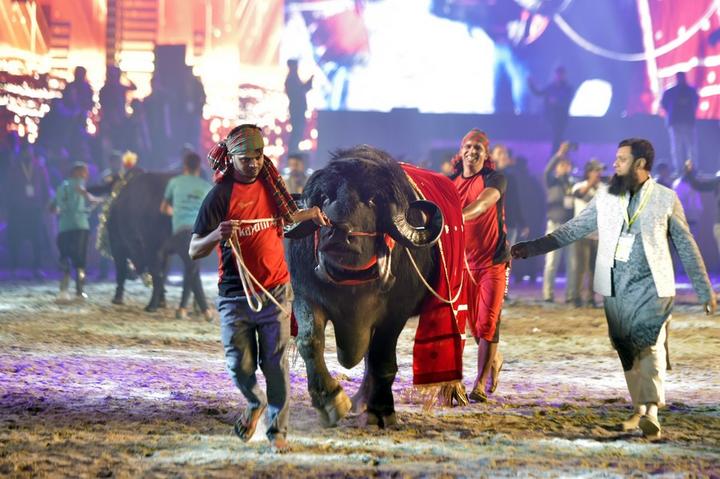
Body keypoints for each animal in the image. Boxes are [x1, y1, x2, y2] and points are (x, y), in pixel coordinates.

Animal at [286, 145, 451, 428]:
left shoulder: (396, 312)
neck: (350, 283)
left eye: (372, 200)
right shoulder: (306, 295)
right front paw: (330, 400)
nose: (337, 233)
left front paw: (381, 410)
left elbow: (381, 359)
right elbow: (310, 341)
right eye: (325, 197)